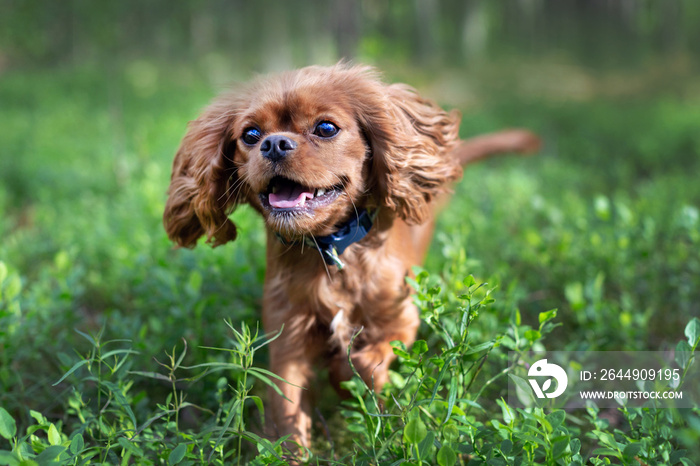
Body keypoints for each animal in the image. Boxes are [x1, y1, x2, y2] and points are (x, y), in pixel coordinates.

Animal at [163, 63, 536, 450]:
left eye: (326, 128)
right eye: (250, 135)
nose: (274, 143)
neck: (331, 249)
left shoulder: (400, 320)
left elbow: (364, 365)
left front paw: (348, 384)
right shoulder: (288, 338)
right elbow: (287, 409)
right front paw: (292, 449)